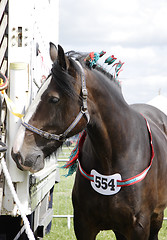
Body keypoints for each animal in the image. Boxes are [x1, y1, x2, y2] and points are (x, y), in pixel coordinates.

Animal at [11, 43, 167, 240]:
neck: (114, 158)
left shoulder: (139, 228)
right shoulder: (84, 226)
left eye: (54, 99)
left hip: (156, 218)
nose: (17, 152)